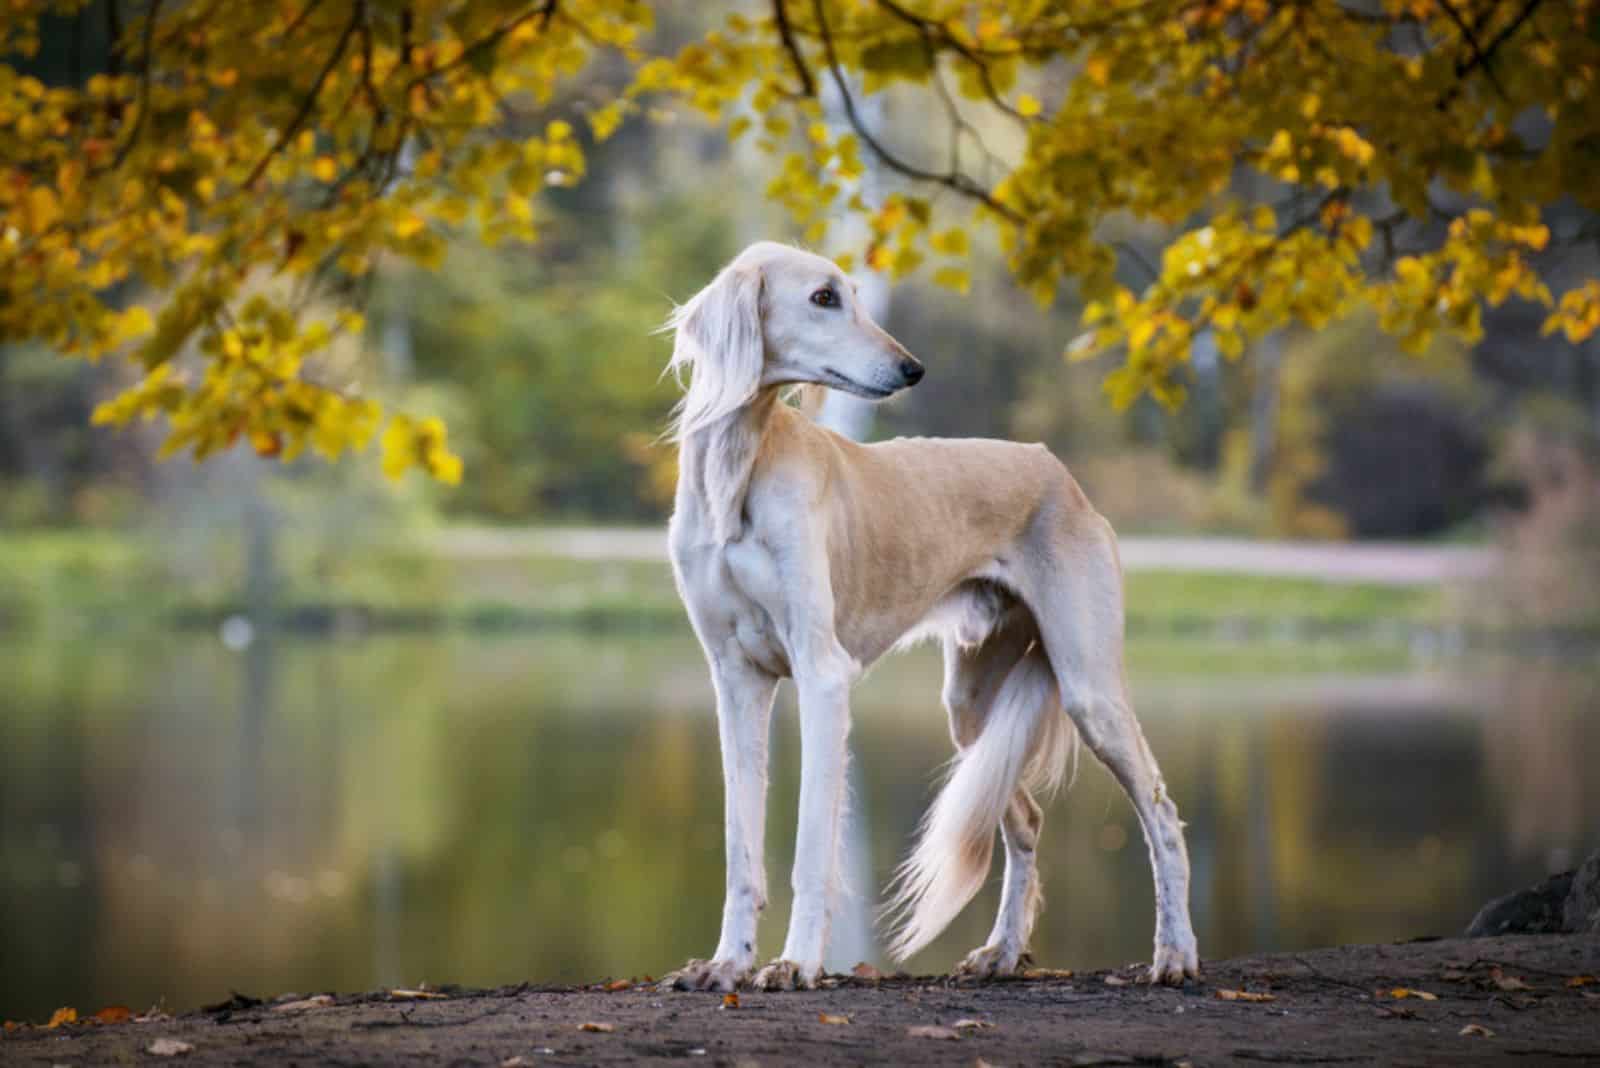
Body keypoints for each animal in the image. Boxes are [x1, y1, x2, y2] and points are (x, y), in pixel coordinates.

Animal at [656, 241, 1196, 991]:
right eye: (823, 297)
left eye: (853, 294)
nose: (912, 368)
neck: (738, 469)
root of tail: (1056, 469)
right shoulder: (736, 680)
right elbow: (741, 847)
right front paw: (726, 962)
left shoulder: (822, 674)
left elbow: (811, 847)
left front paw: (795, 963)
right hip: (971, 705)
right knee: (1024, 820)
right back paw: (1002, 950)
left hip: (1089, 687)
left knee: (1162, 814)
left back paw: (1175, 952)